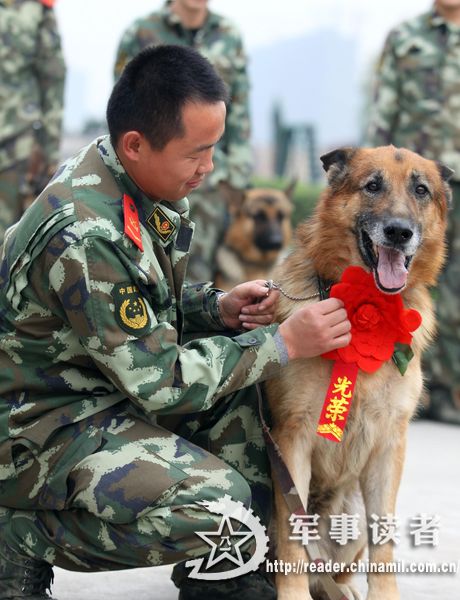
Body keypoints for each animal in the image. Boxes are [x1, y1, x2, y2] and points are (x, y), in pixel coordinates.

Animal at [264, 146, 452, 600]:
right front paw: (292, 596)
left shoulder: (389, 446)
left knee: (336, 568)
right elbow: (292, 545)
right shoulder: (291, 440)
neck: (366, 307)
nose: (399, 232)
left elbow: (383, 542)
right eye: (372, 186)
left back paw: (341, 588)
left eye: (421, 190)